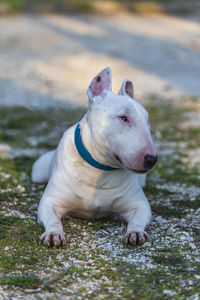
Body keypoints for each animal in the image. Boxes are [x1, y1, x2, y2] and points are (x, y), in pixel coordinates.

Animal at [32, 68, 158, 248]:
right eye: (124, 118)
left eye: (147, 121)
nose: (151, 159)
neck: (99, 170)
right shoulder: (50, 202)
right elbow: (52, 218)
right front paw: (53, 234)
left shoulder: (139, 205)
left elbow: (139, 217)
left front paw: (135, 232)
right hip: (38, 170)